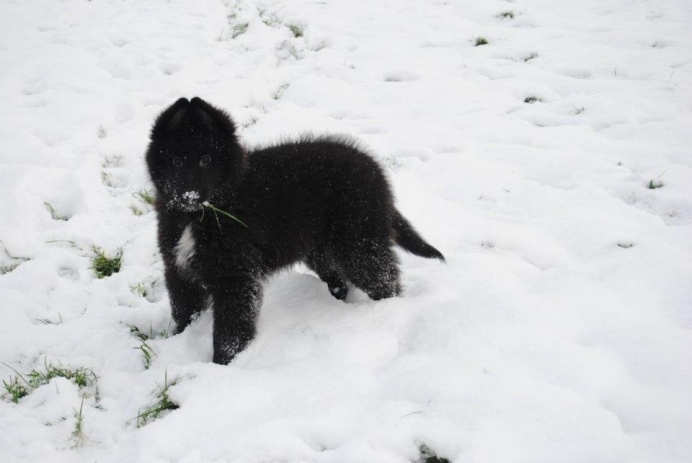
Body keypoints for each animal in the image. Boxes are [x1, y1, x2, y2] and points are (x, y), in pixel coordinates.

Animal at [145, 98, 444, 366]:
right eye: (175, 160)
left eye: (206, 159)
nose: (189, 195)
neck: (200, 215)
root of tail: (375, 169)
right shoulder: (178, 269)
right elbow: (184, 311)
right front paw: (179, 341)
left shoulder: (236, 278)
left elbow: (230, 332)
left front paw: (221, 365)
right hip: (320, 248)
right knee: (340, 279)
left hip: (357, 243)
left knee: (385, 281)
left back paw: (386, 315)